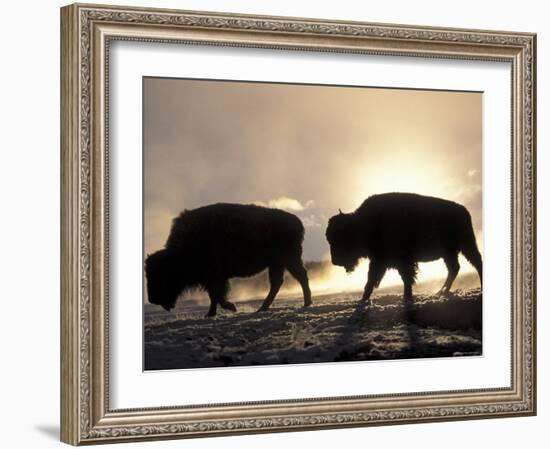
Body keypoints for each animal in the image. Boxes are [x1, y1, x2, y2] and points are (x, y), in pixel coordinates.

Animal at [144, 202, 312, 316]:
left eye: (161, 275)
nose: (152, 299)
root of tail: (297, 221)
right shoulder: (212, 279)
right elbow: (214, 296)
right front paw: (210, 314)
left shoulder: (216, 277)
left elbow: (217, 295)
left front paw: (230, 307)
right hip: (279, 263)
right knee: (280, 282)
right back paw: (264, 308)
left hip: (288, 259)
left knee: (298, 277)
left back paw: (304, 303)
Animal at [328, 192, 484, 300]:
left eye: (339, 239)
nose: (335, 262)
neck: (363, 223)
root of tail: (464, 210)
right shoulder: (380, 261)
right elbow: (371, 279)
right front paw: (364, 298)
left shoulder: (399, 261)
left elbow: (404, 278)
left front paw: (407, 296)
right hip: (450, 253)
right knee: (455, 268)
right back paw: (442, 291)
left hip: (466, 246)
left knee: (475, 263)